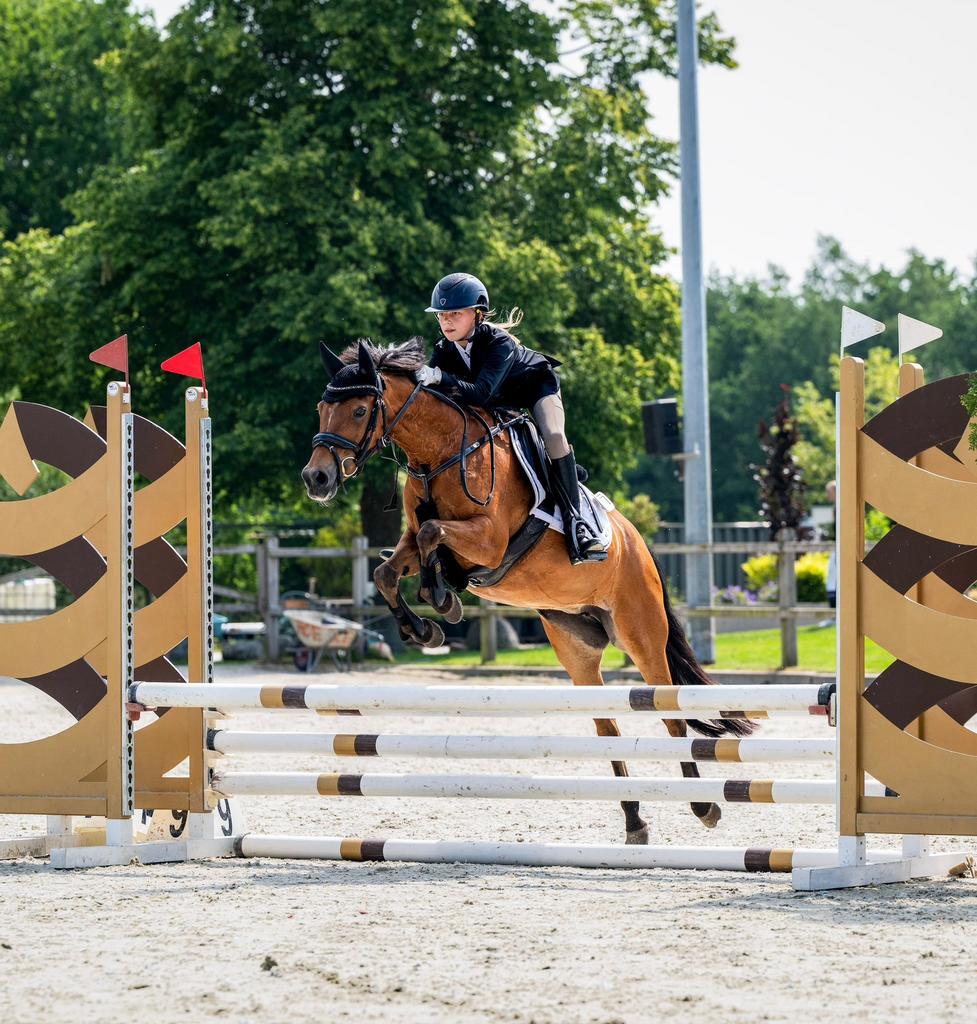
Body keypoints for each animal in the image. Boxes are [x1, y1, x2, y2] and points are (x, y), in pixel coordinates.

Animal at [301, 338, 754, 844]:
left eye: (360, 410)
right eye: (322, 408)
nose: (316, 479)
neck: (441, 454)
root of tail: (637, 541)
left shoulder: (489, 541)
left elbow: (434, 535)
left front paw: (443, 599)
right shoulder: (415, 541)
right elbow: (389, 570)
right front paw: (427, 627)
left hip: (641, 635)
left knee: (671, 714)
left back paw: (703, 806)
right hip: (575, 646)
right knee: (608, 726)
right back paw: (635, 821)